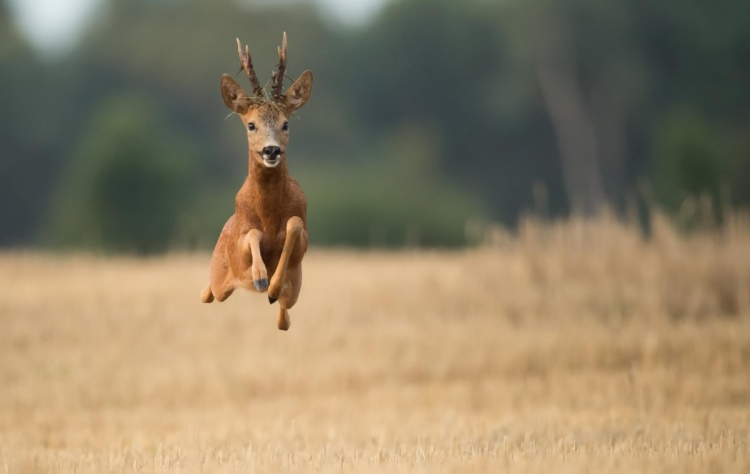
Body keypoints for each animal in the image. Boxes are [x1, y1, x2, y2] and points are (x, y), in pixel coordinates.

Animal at [201, 33, 312, 332]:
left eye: (286, 124)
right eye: (251, 125)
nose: (271, 151)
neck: (270, 215)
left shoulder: (302, 242)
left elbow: (294, 225)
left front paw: (271, 286)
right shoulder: (240, 246)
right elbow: (252, 234)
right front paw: (261, 277)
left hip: (295, 291)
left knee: (284, 319)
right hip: (220, 276)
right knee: (209, 292)